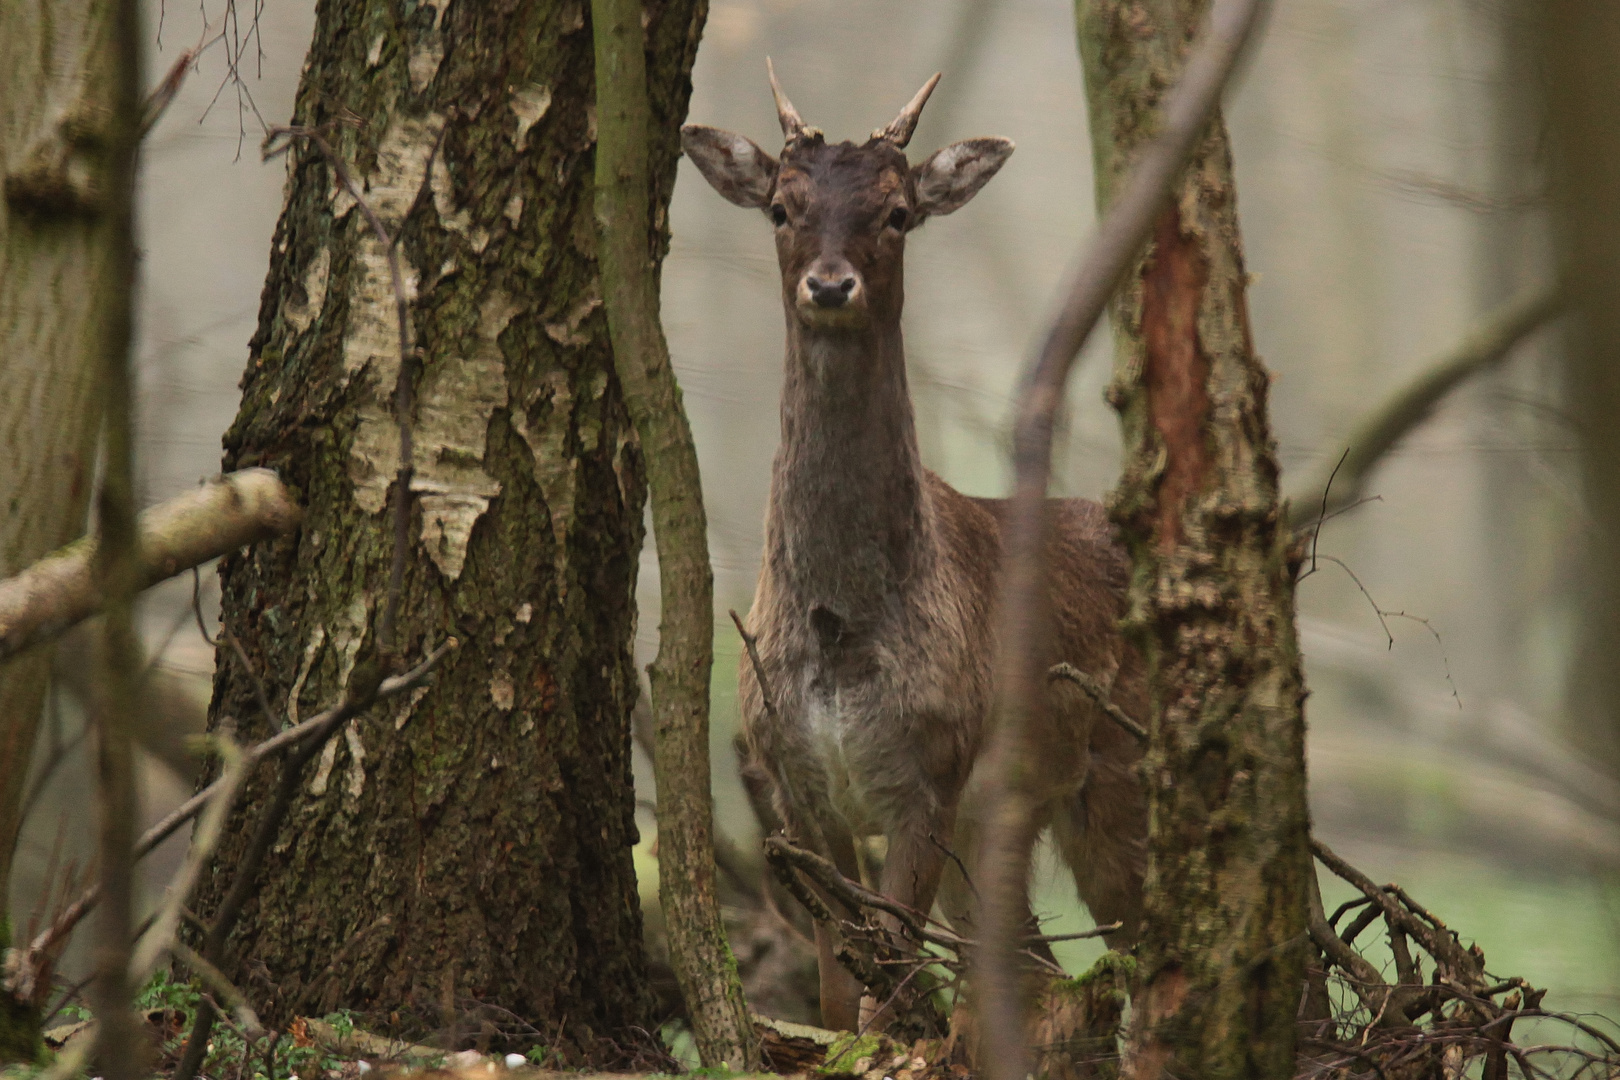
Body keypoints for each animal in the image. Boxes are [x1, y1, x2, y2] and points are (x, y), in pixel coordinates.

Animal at [683, 65, 1153, 1029]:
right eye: (781, 207)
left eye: (897, 212)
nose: (829, 286)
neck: (838, 630)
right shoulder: (796, 790)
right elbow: (839, 992)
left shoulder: (932, 774)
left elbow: (887, 982)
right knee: (1037, 967)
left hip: (1125, 775)